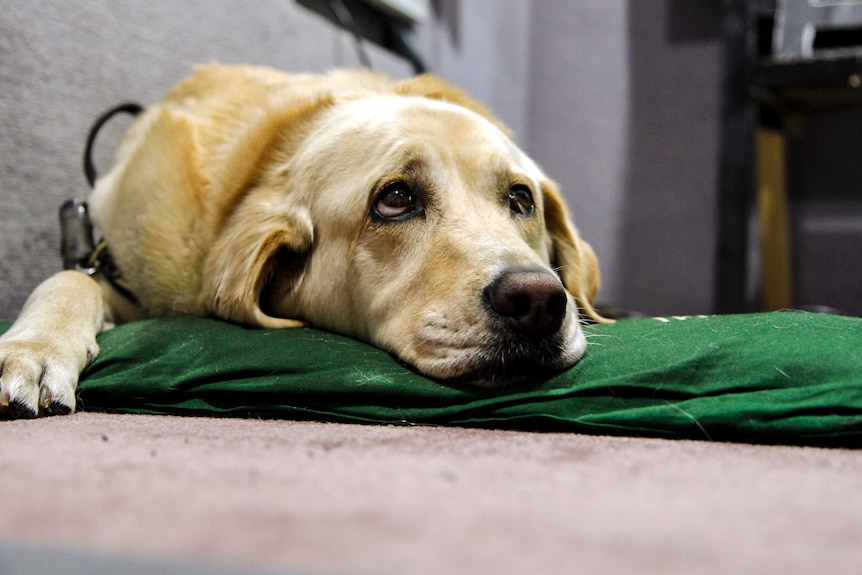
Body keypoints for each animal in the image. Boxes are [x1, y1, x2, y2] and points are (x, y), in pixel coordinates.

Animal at [0, 64, 608, 418]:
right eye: (395, 199)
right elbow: (70, 278)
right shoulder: (124, 276)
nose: (538, 300)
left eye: (522, 199)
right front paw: (32, 351)